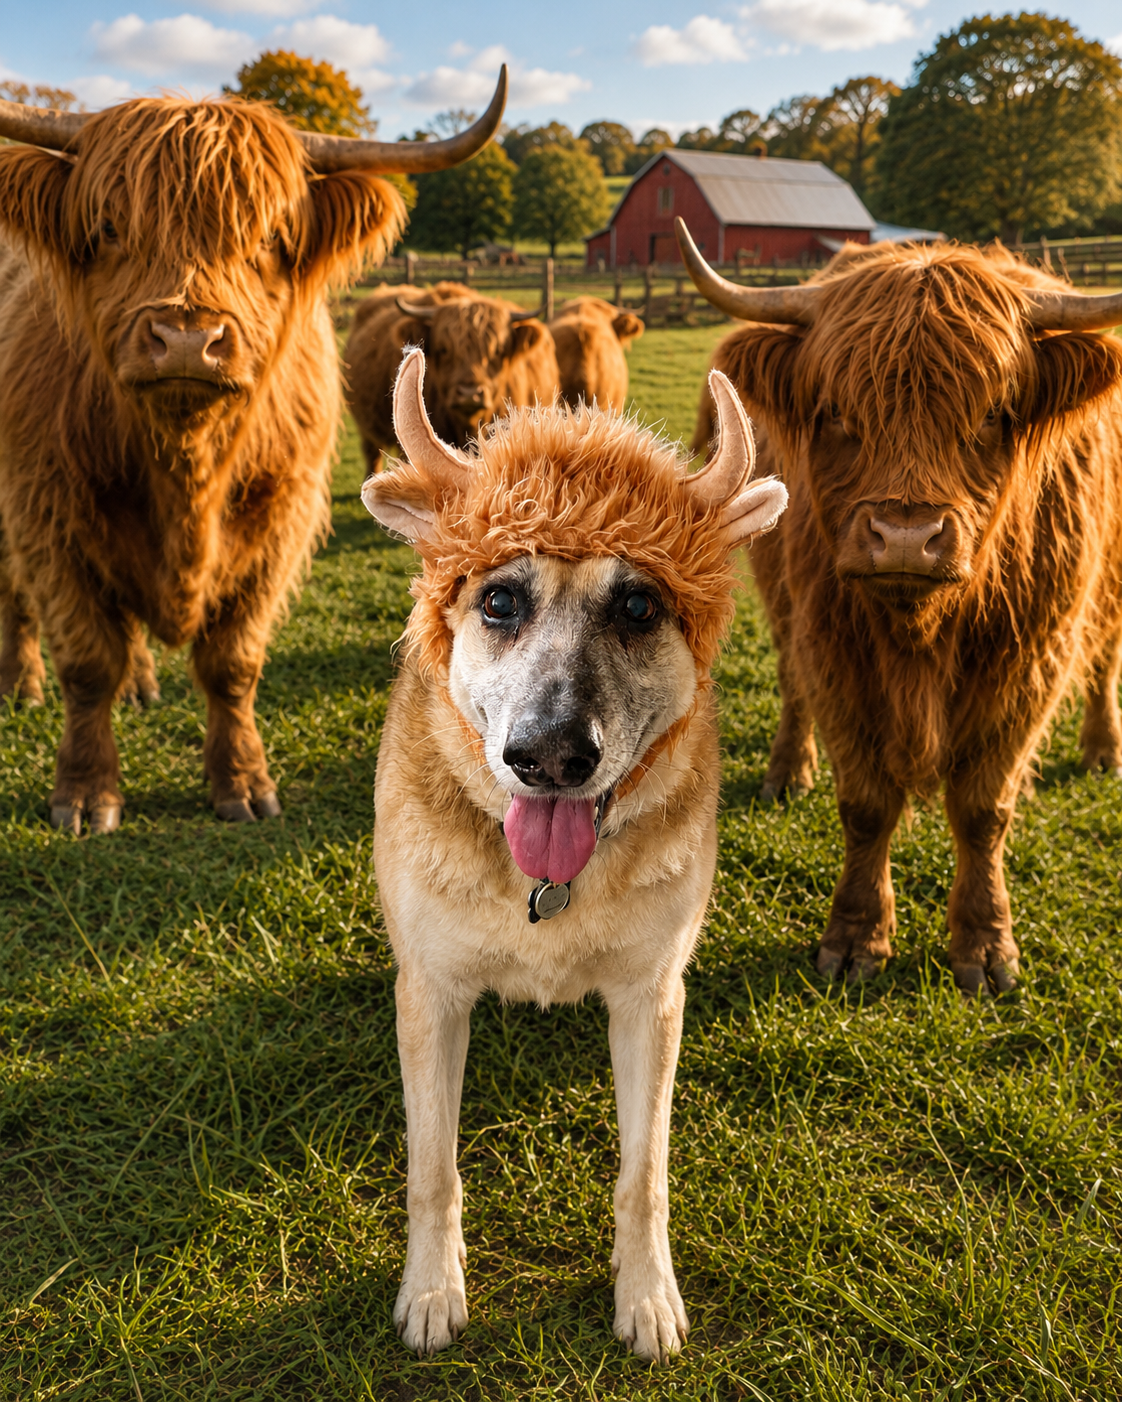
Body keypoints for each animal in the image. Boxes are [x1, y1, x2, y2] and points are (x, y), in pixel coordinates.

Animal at [0, 76, 506, 833]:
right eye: (110, 228)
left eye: (270, 237)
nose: (187, 339)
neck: (185, 466)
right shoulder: (49, 516)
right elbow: (87, 664)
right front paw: (86, 794)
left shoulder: (278, 521)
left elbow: (232, 663)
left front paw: (241, 782)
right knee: (19, 602)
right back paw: (21, 682)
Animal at [676, 218, 1122, 996]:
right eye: (836, 413)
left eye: (994, 414)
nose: (907, 538)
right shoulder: (833, 648)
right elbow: (866, 805)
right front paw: (855, 938)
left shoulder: (1030, 659)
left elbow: (983, 808)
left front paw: (986, 946)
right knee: (790, 684)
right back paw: (788, 770)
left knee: (1105, 661)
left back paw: (1103, 749)